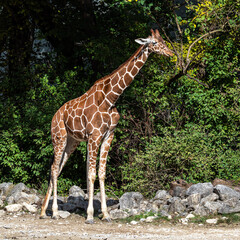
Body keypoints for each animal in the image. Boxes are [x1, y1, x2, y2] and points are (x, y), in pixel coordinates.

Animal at [40, 29, 173, 223]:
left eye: (163, 40)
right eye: (155, 43)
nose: (170, 53)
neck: (111, 98)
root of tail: (55, 115)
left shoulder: (108, 135)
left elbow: (101, 173)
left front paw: (106, 214)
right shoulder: (94, 136)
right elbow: (91, 174)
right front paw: (89, 215)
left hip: (72, 142)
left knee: (56, 170)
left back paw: (43, 211)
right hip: (59, 137)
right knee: (54, 167)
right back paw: (55, 212)